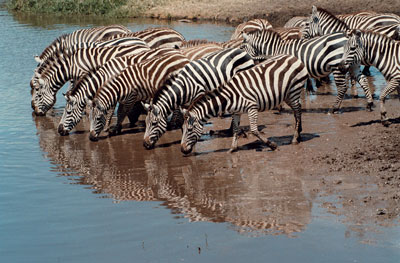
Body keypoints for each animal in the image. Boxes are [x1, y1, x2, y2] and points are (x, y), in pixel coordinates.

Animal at [180, 55, 308, 156]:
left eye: (190, 129)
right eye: (183, 129)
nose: (182, 150)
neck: (230, 96)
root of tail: (294, 57)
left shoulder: (252, 107)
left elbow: (254, 130)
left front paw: (272, 145)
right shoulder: (236, 112)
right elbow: (235, 129)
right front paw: (232, 148)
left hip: (294, 91)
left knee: (297, 112)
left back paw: (295, 138)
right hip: (287, 95)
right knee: (297, 110)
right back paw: (299, 132)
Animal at [239, 29, 374, 112]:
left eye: (242, 47)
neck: (276, 49)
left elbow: (278, 87)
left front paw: (280, 107)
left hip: (337, 66)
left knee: (342, 88)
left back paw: (334, 108)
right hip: (353, 64)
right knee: (363, 80)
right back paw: (369, 104)